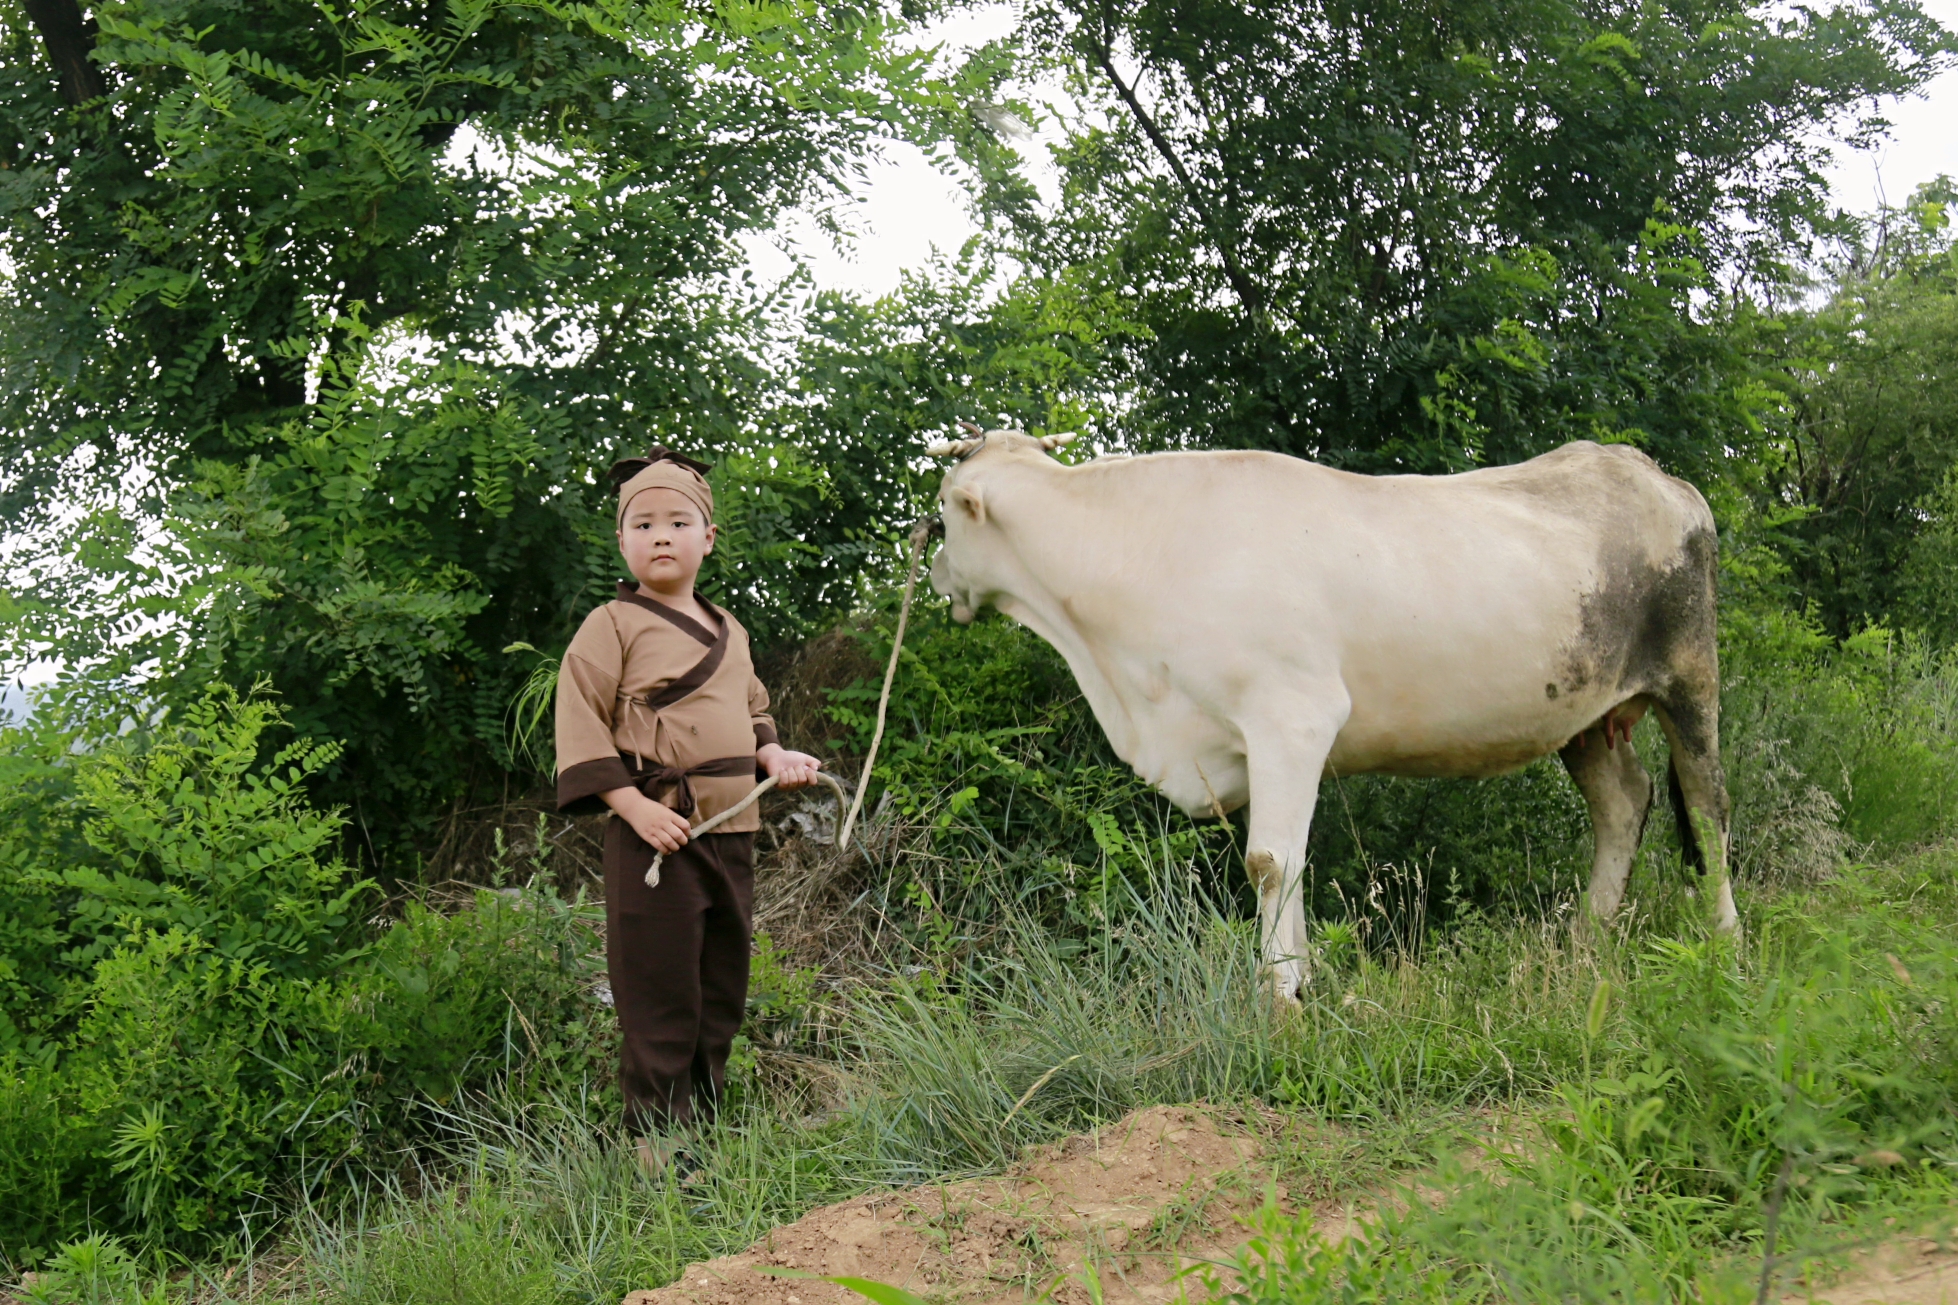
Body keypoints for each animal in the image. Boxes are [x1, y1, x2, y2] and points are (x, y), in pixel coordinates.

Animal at [924, 431, 1738, 991]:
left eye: (940, 511)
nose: (932, 573)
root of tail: (1650, 471)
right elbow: (1289, 864)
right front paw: (1300, 980)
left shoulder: (1291, 717)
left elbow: (1269, 862)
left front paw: (1279, 998)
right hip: (1584, 711)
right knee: (1624, 801)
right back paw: (1582, 944)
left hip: (1690, 675)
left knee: (1706, 809)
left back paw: (1725, 942)